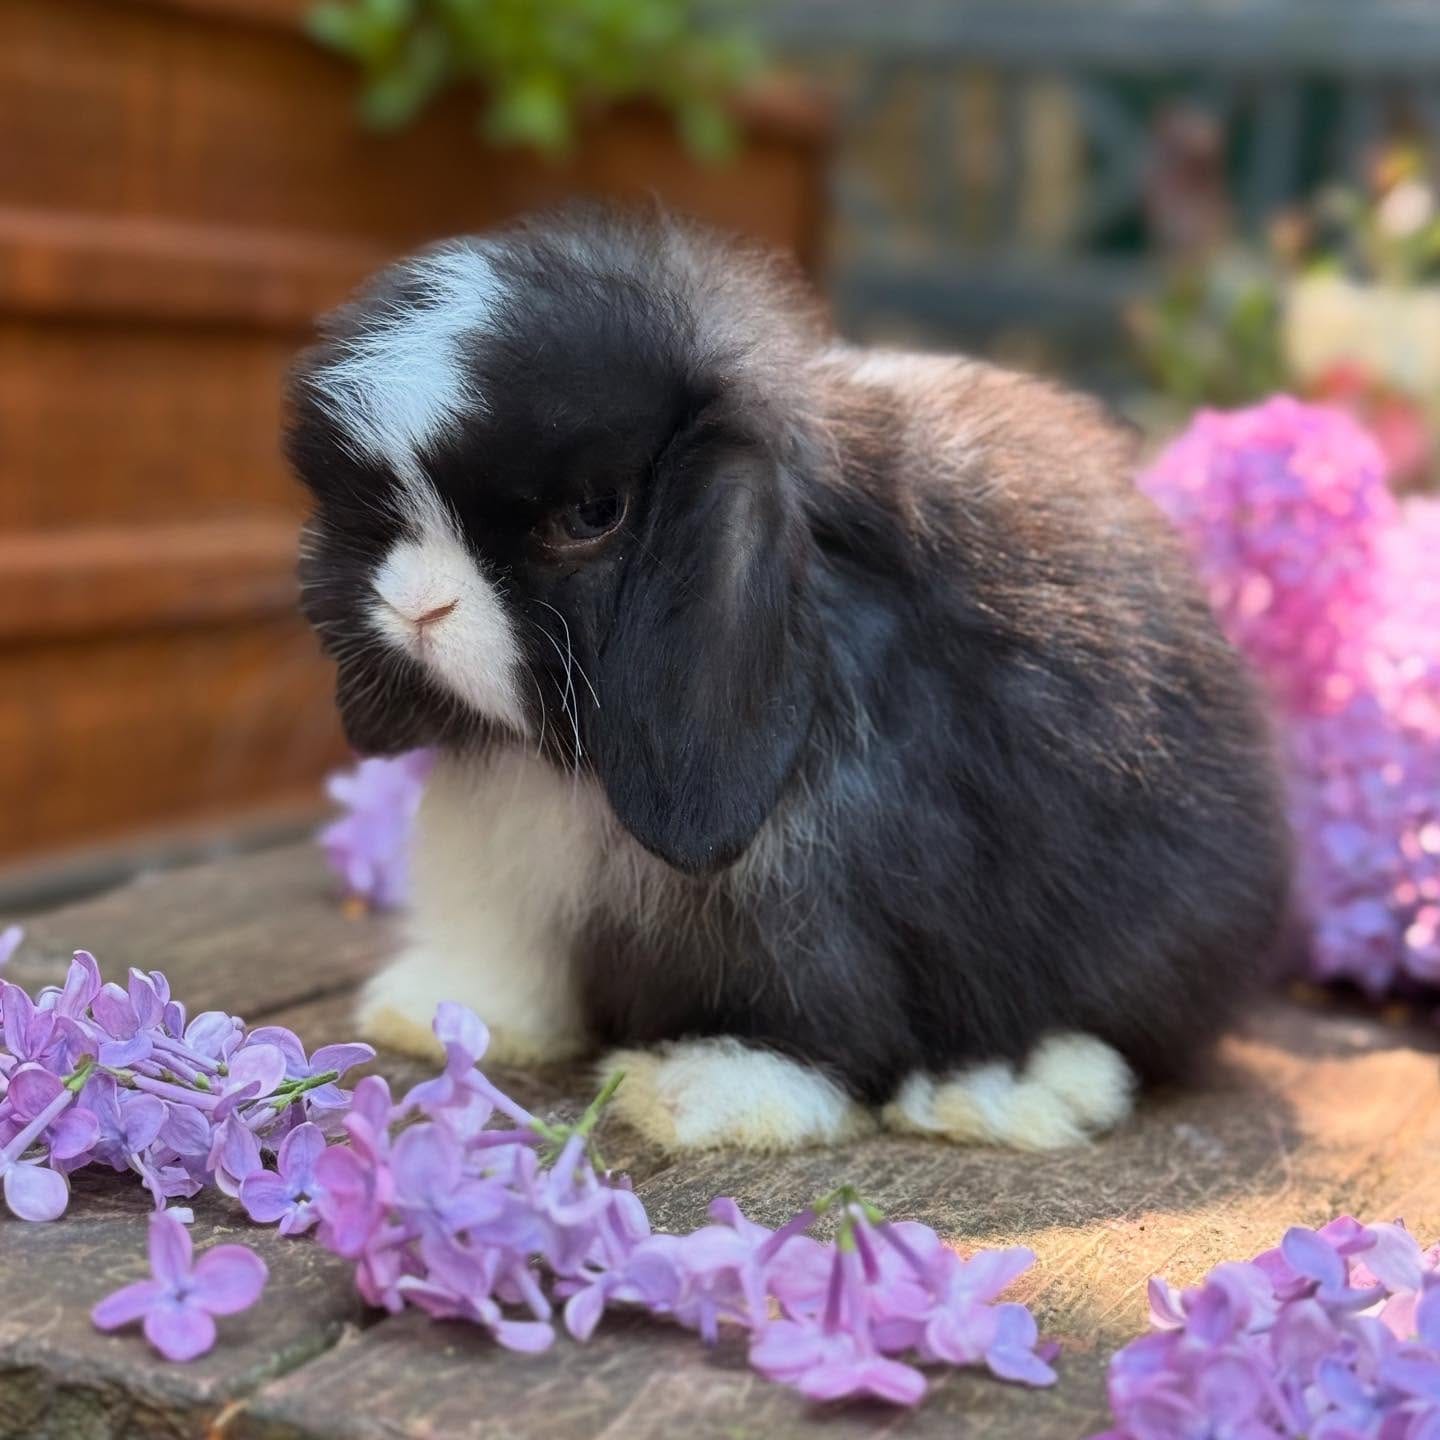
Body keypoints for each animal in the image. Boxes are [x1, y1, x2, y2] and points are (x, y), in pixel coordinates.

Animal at [285, 204, 1291, 1153]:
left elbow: (808, 1001)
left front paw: (711, 1087)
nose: (416, 607)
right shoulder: (505, 860)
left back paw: (1005, 1091)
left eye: (594, 512)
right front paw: (443, 1014)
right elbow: (506, 945)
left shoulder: (813, 889)